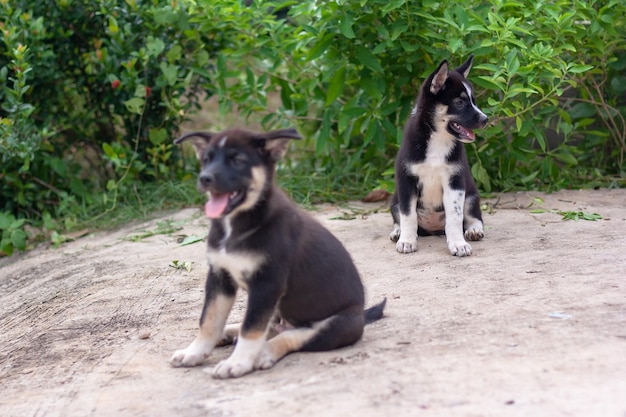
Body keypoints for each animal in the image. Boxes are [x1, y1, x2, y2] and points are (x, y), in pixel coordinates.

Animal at [171, 127, 386, 376]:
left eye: (238, 160)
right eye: (206, 159)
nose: (204, 178)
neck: (237, 223)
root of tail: (362, 315)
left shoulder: (267, 284)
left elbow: (252, 328)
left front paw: (238, 362)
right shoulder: (219, 276)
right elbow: (209, 320)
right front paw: (194, 352)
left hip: (338, 324)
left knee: (292, 336)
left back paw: (263, 353)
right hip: (278, 309)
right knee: (273, 327)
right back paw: (230, 333)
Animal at [390, 55, 488, 256]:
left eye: (473, 101)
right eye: (459, 103)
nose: (485, 119)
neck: (438, 139)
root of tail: (433, 230)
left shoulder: (455, 182)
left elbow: (455, 217)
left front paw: (458, 243)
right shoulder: (406, 181)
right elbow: (408, 216)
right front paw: (407, 241)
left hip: (471, 196)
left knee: (474, 217)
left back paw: (474, 230)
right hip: (394, 200)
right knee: (399, 217)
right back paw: (397, 232)